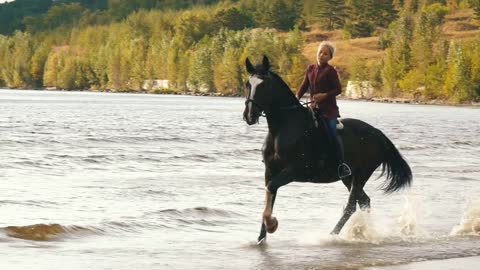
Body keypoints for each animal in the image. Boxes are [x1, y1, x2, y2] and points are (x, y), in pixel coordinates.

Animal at [244, 56, 412, 244]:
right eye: (247, 84)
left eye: (264, 85)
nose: (249, 116)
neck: (281, 129)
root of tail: (378, 134)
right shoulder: (270, 170)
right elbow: (269, 194)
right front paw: (260, 239)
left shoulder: (295, 170)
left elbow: (271, 188)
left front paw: (272, 224)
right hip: (348, 177)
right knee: (364, 201)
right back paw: (361, 232)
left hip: (361, 174)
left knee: (351, 205)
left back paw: (332, 235)